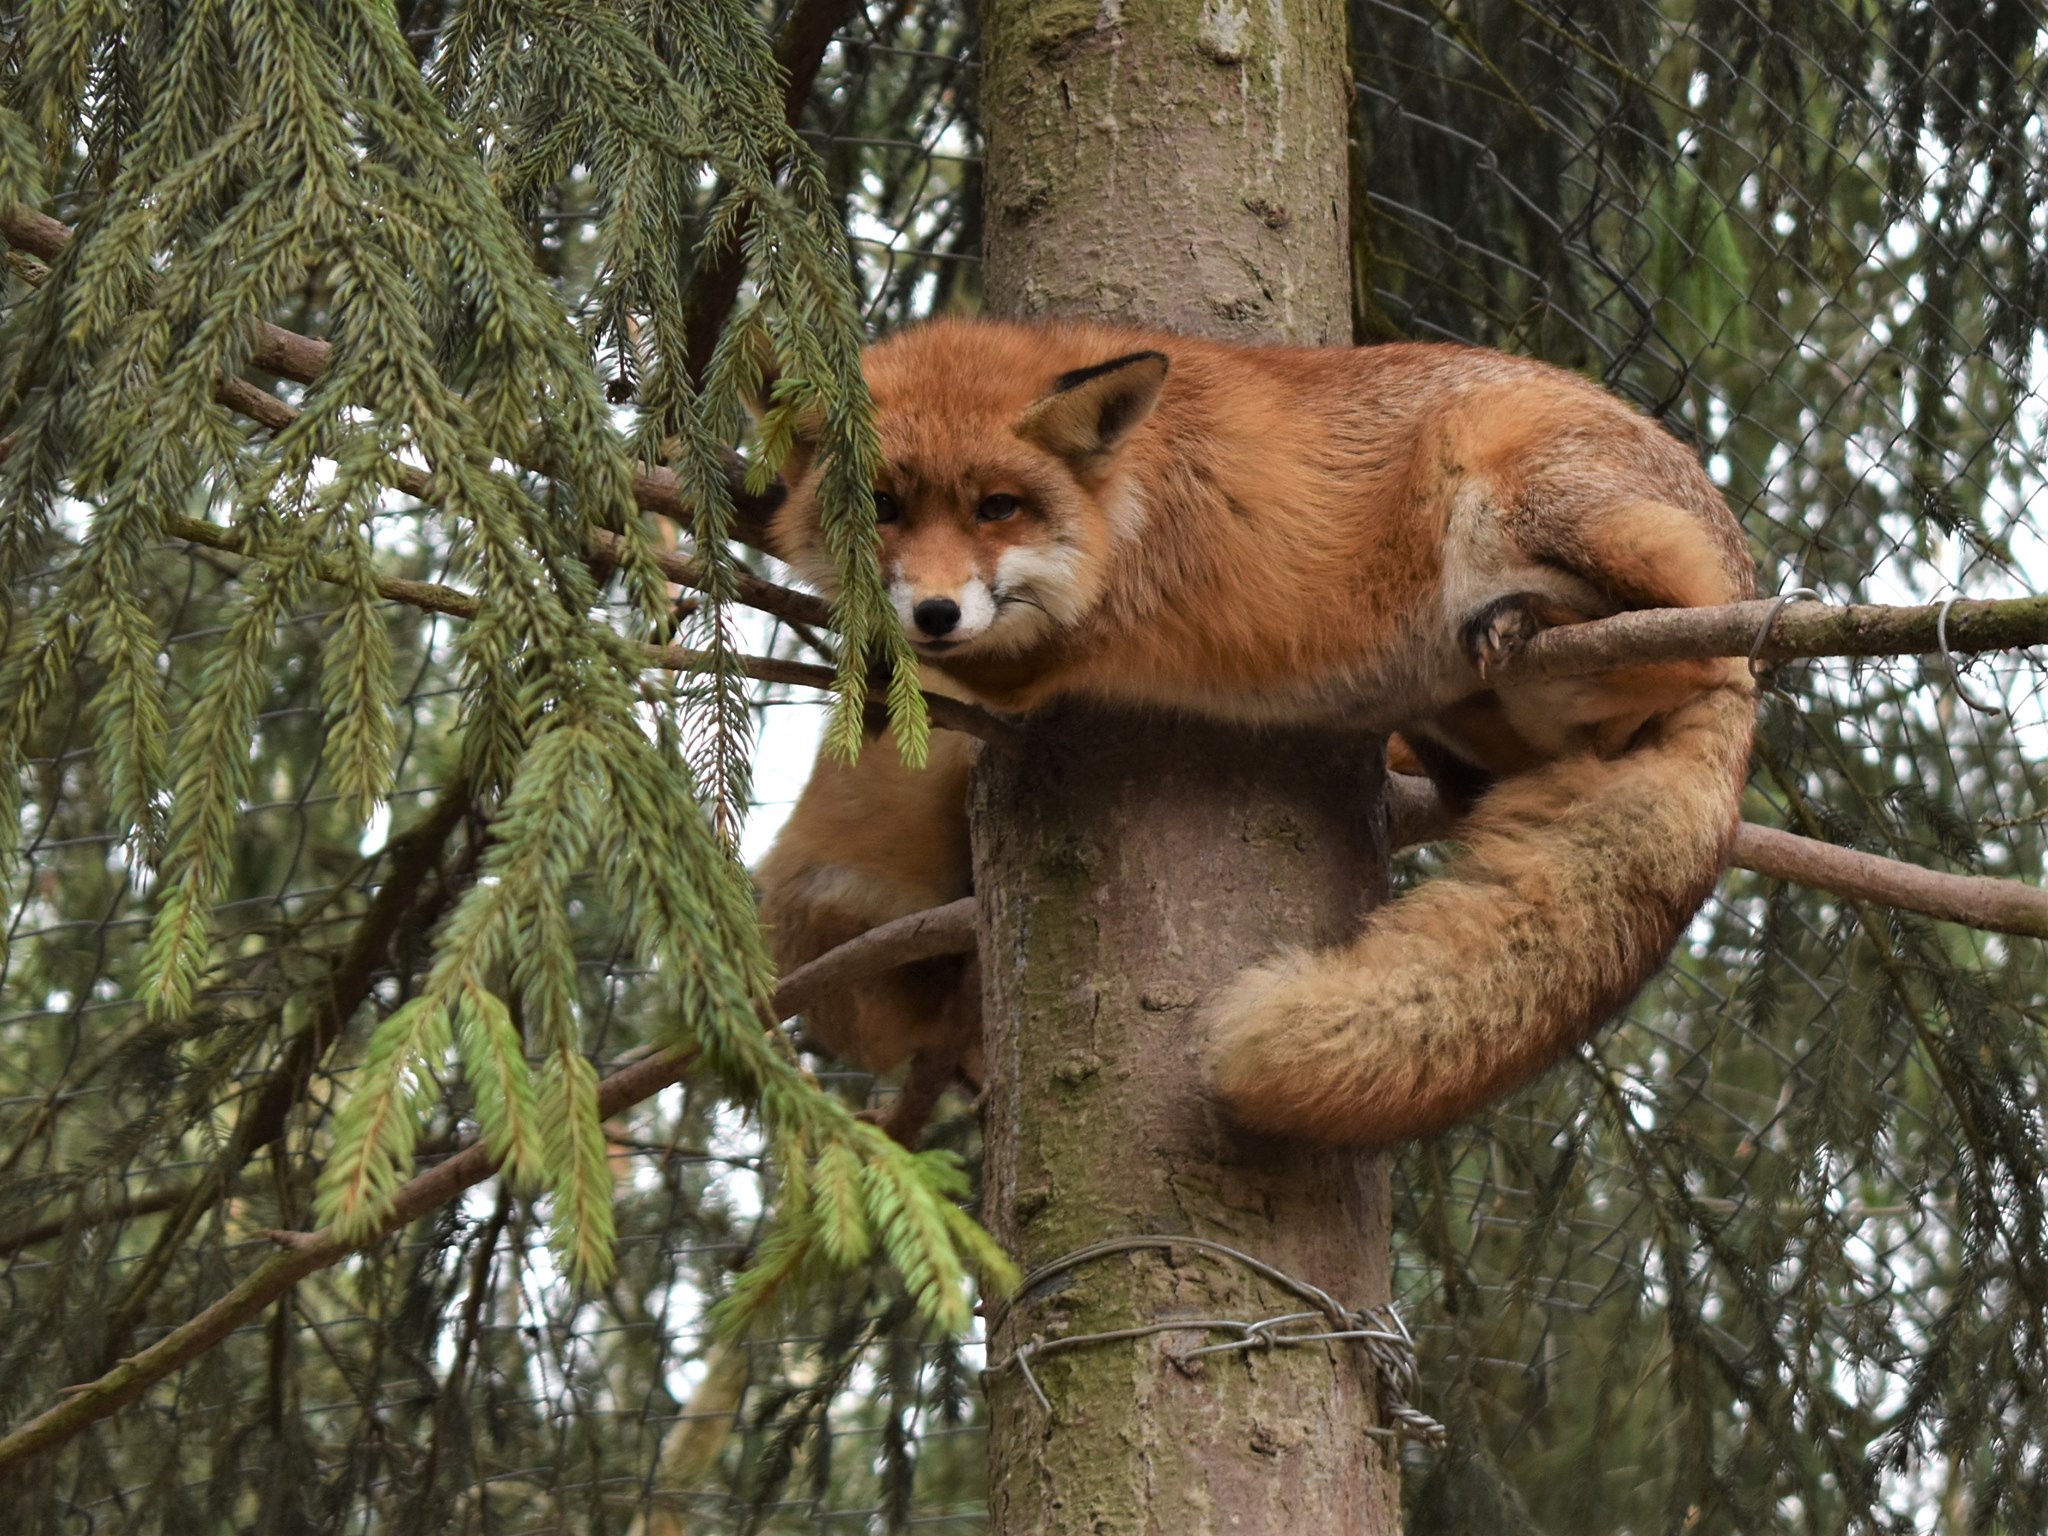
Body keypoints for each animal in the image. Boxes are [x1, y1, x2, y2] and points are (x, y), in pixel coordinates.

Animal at [761, 319, 1753, 1146]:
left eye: (997, 507)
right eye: (884, 506)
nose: (934, 612)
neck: (1127, 493)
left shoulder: (1057, 653)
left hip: (1517, 497)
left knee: (1684, 645)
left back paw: (1529, 616)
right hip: (1465, 712)